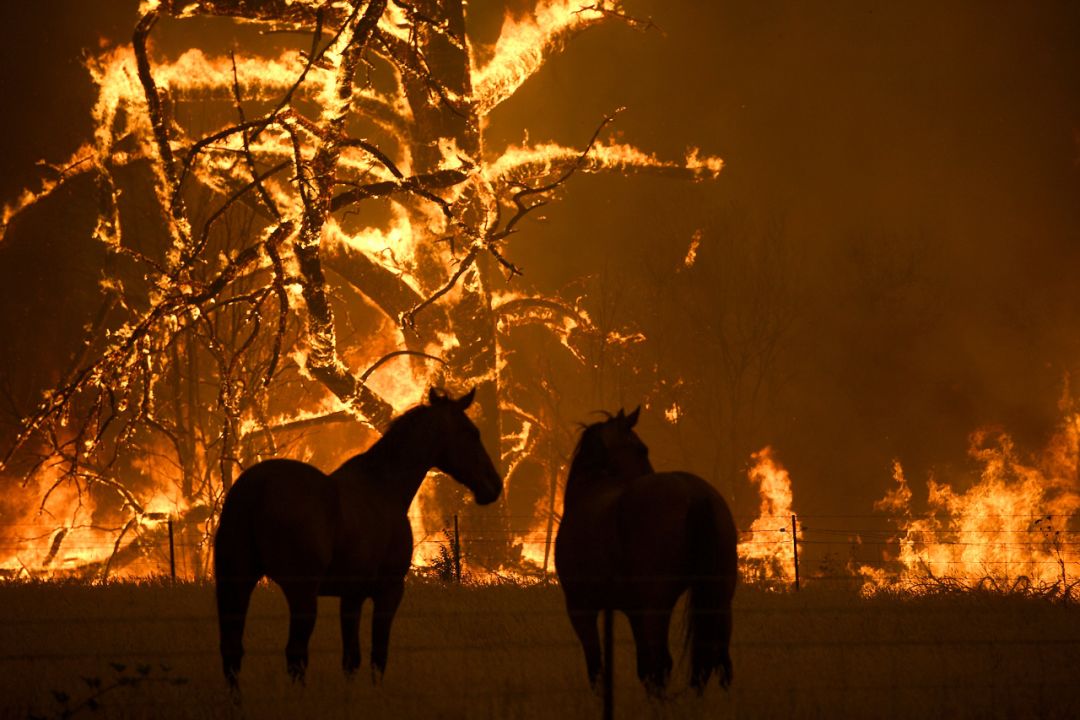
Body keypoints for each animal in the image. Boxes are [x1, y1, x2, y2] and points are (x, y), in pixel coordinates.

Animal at [213, 388, 501, 686]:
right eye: (471, 433)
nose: (494, 485)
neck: (383, 487)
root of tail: (254, 489)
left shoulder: (351, 595)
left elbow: (350, 660)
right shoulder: (388, 590)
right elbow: (377, 656)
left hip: (236, 582)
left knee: (232, 651)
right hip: (301, 593)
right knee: (295, 656)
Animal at [552, 410, 738, 699]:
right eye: (642, 449)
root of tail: (694, 492)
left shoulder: (582, 609)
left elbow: (597, 668)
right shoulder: (633, 612)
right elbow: (642, 668)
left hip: (657, 606)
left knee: (662, 664)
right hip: (720, 599)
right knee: (718, 660)